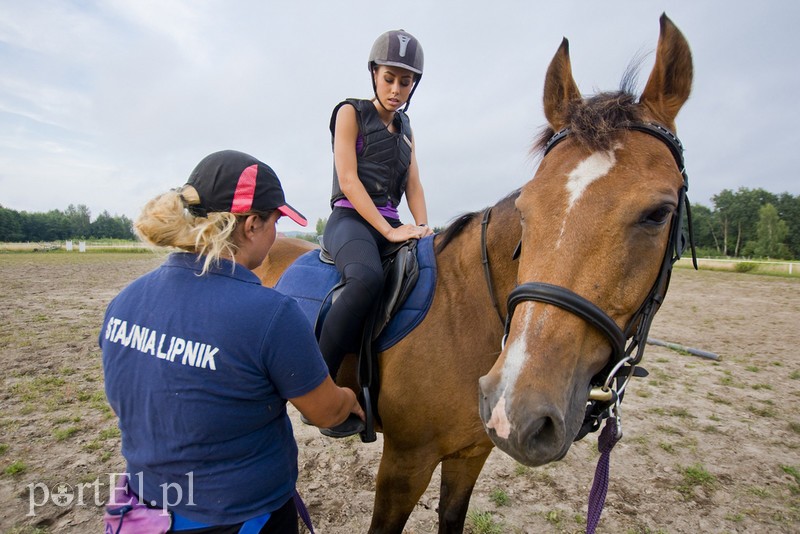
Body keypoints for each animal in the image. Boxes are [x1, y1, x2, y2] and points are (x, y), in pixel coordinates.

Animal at [258, 14, 692, 532]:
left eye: (658, 214)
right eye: (525, 208)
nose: (519, 409)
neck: (466, 308)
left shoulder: (471, 452)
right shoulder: (405, 461)